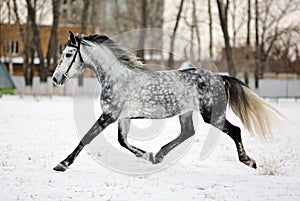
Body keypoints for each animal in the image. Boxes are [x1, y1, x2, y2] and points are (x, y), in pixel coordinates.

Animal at [52, 31, 282, 171]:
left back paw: (249, 161)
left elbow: (87, 137)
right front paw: (149, 156)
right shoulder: (122, 117)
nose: (56, 79)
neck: (117, 77)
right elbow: (122, 141)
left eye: (69, 54)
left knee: (235, 130)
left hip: (212, 115)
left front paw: (62, 164)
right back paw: (160, 155)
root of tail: (220, 77)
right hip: (186, 113)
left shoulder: (109, 115)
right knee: (188, 132)